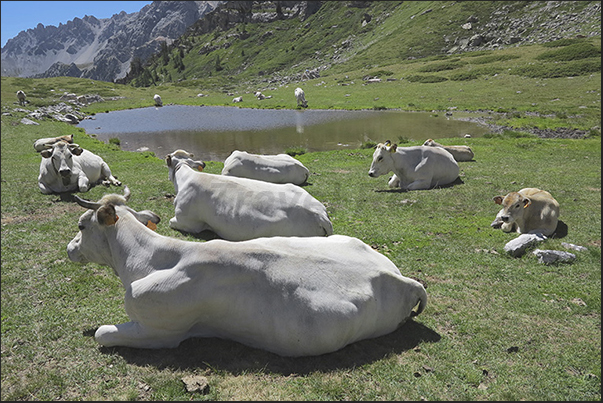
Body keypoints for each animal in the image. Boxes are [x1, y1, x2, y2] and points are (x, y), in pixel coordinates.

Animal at [67, 187, 430, 356]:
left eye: (82, 225)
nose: (70, 248)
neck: (145, 260)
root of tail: (405, 279)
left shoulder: (162, 331)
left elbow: (103, 334)